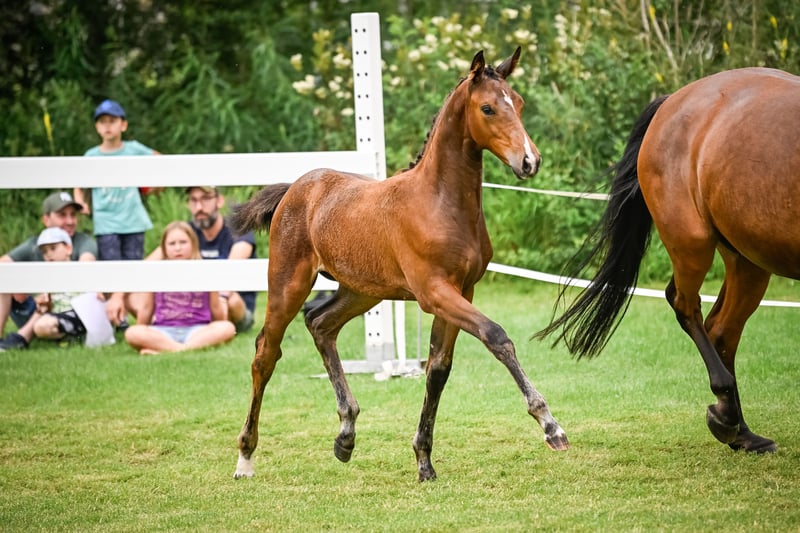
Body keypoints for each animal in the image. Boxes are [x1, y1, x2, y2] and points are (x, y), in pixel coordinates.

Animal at [230, 48, 569, 482]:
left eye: (520, 103)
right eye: (488, 107)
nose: (529, 161)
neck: (439, 203)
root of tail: (295, 189)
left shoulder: (463, 289)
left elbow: (438, 369)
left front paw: (424, 461)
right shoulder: (434, 292)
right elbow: (496, 336)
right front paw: (550, 426)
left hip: (360, 291)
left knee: (320, 324)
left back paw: (346, 435)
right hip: (287, 285)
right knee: (265, 355)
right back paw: (246, 457)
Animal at [537, 67, 800, 454]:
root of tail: (673, 100)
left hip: (747, 258)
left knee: (721, 329)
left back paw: (740, 432)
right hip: (693, 244)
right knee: (686, 306)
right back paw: (728, 417)